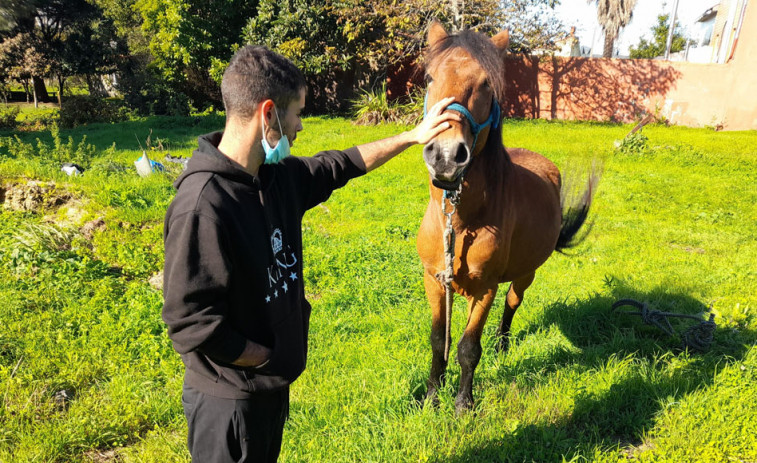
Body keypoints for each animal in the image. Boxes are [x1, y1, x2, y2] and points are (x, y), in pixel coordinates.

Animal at [414, 22, 596, 414]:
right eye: (429, 77)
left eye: (486, 84)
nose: (446, 156)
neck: (462, 223)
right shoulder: (434, 281)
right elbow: (438, 340)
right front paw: (433, 396)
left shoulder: (486, 288)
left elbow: (469, 347)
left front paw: (463, 403)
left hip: (525, 275)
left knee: (512, 305)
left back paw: (503, 344)